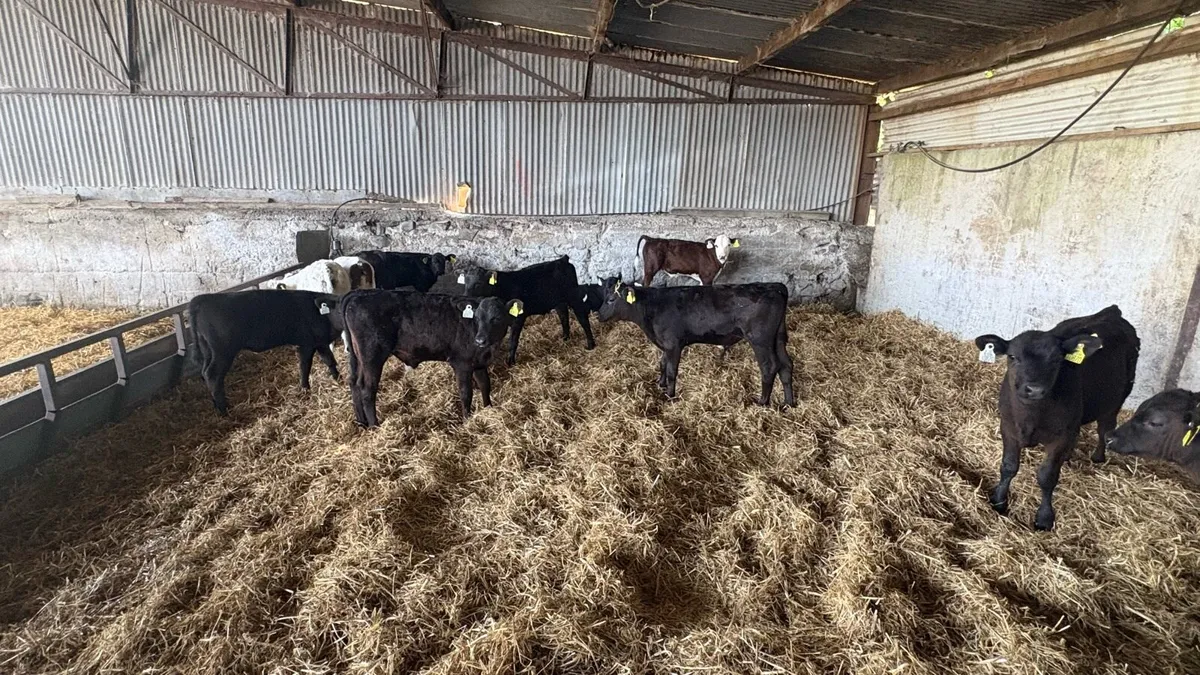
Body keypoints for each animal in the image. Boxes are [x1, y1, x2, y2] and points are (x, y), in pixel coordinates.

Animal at [189, 290, 343, 415]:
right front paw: (305, 389)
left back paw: (216, 406)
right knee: (213, 375)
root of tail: (204, 298)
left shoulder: (320, 342)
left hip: (208, 350)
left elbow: (329, 360)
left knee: (205, 373)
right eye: (339, 310)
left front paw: (338, 378)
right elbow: (305, 366)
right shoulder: (306, 344)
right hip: (223, 351)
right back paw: (224, 410)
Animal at [341, 289, 524, 426]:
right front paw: (467, 420)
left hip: (357, 357)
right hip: (372, 356)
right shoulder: (462, 363)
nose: (480, 340)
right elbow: (466, 393)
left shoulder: (479, 363)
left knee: (354, 383)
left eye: (497, 318)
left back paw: (362, 422)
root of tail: (358, 294)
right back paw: (375, 425)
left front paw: (488, 409)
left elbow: (485, 385)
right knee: (367, 389)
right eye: (477, 318)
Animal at [457, 256, 595, 365]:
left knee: (583, 319)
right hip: (558, 301)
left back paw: (590, 344)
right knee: (563, 316)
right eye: (465, 282)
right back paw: (565, 338)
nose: (465, 296)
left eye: (478, 283)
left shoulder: (518, 318)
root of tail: (561, 260)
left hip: (573, 296)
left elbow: (513, 340)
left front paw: (510, 361)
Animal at [596, 279, 795, 407]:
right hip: (778, 337)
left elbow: (671, 371)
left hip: (760, 339)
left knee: (769, 366)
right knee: (786, 365)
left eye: (611, 299)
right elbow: (662, 363)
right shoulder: (665, 344)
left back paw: (762, 402)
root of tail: (774, 286)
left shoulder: (673, 344)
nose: (598, 315)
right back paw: (788, 403)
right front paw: (660, 384)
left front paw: (669, 395)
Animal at [975, 305, 1140, 531]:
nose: (1034, 389)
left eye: (1056, 360)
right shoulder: (1008, 426)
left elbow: (1047, 476)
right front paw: (999, 500)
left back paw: (1098, 457)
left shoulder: (1060, 436)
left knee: (1105, 429)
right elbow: (1008, 466)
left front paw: (1044, 518)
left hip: (1115, 401)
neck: (1030, 419)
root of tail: (1112, 312)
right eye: (1012, 357)